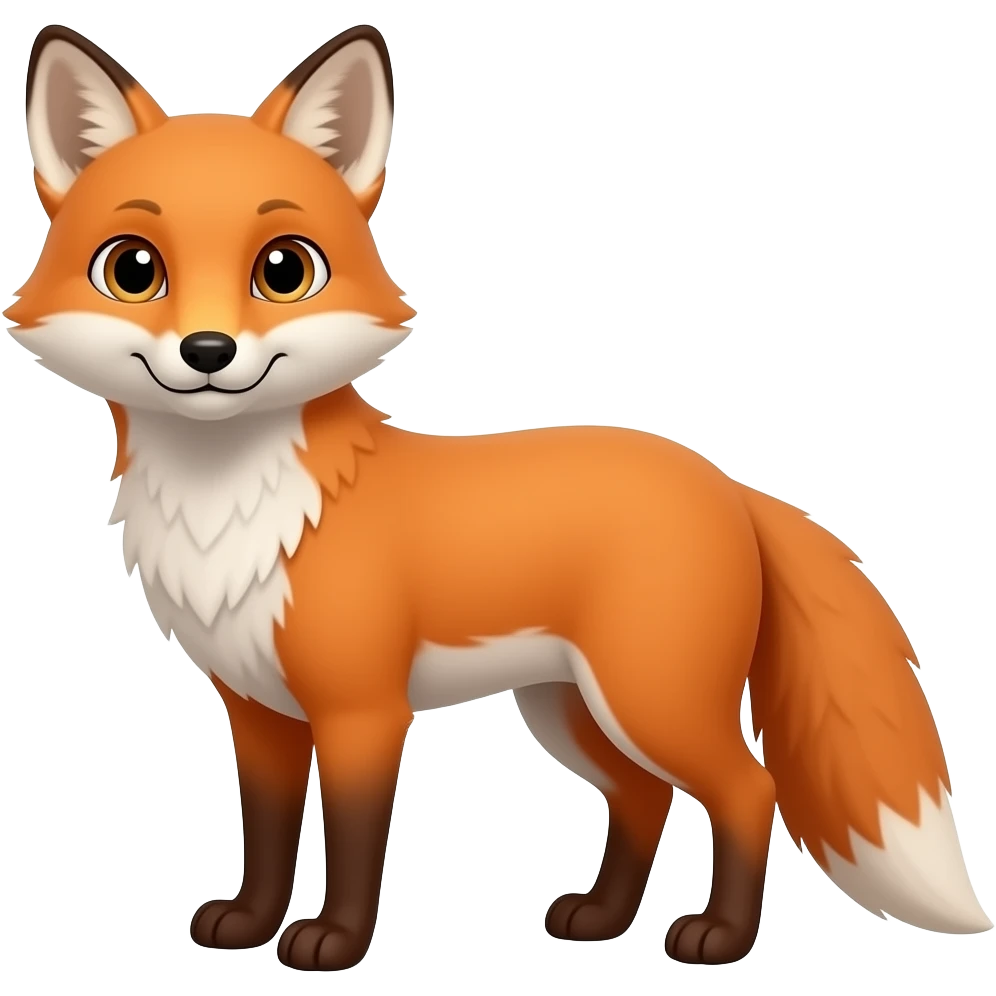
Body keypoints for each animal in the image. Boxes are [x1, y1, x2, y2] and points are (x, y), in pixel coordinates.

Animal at [5, 21, 991, 973]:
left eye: (284, 270)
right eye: (134, 270)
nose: (207, 353)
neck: (231, 512)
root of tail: (724, 481)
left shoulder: (364, 710)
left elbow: (355, 840)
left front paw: (334, 944)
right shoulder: (257, 711)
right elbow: (269, 832)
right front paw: (249, 924)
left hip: (649, 699)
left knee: (752, 790)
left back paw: (719, 939)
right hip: (569, 709)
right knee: (645, 796)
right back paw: (601, 919)